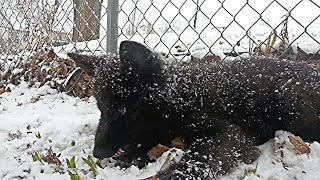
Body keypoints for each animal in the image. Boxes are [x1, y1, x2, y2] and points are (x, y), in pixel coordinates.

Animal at [69, 41, 320, 179]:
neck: (178, 98)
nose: (97, 154)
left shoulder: (230, 135)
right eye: (100, 108)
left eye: (121, 109)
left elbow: (198, 158)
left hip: (289, 97)